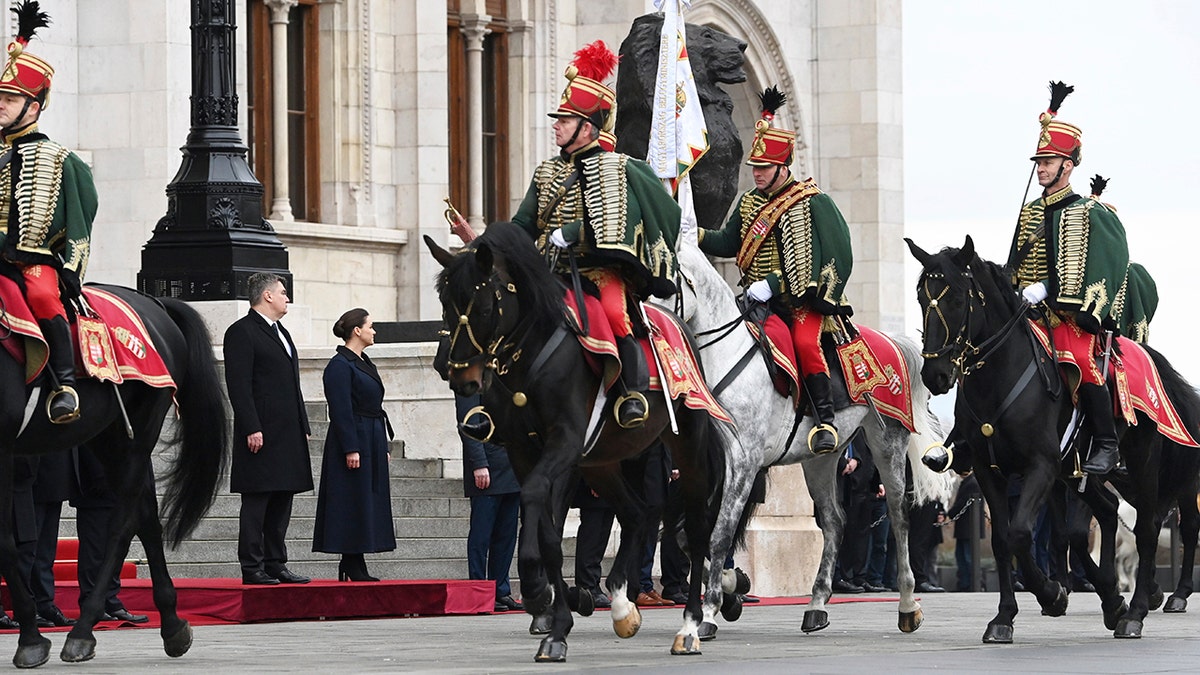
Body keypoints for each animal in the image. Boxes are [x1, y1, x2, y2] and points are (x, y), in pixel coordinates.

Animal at [0, 281, 226, 662]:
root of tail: (152, 301)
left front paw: (30, 639)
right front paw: (29, 634)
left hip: (137, 431)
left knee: (123, 525)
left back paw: (83, 631)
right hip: (106, 438)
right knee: (145, 518)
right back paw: (171, 624)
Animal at [427, 223, 729, 658]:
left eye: (483, 308)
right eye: (445, 305)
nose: (459, 378)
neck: (531, 356)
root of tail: (680, 326)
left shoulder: (564, 443)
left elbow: (537, 502)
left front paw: (541, 594)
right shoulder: (525, 452)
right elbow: (547, 528)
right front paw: (553, 615)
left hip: (686, 446)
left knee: (698, 528)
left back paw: (689, 625)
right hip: (601, 461)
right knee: (637, 513)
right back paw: (621, 605)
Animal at [672, 239, 950, 638]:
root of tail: (892, 342)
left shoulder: (744, 461)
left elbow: (720, 532)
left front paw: (710, 610)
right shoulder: (714, 464)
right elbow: (689, 534)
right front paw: (732, 589)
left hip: (887, 442)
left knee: (898, 518)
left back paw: (908, 605)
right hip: (821, 458)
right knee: (834, 521)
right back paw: (817, 604)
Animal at [907, 237, 1200, 638]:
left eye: (956, 299)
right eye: (923, 299)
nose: (935, 375)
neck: (1000, 377)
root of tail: (1148, 355)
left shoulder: (1041, 466)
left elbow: (1021, 534)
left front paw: (1051, 593)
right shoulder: (989, 470)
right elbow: (1004, 540)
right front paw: (1005, 617)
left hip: (1141, 462)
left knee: (1150, 529)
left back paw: (1139, 609)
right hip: (1079, 474)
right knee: (1108, 514)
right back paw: (1113, 600)